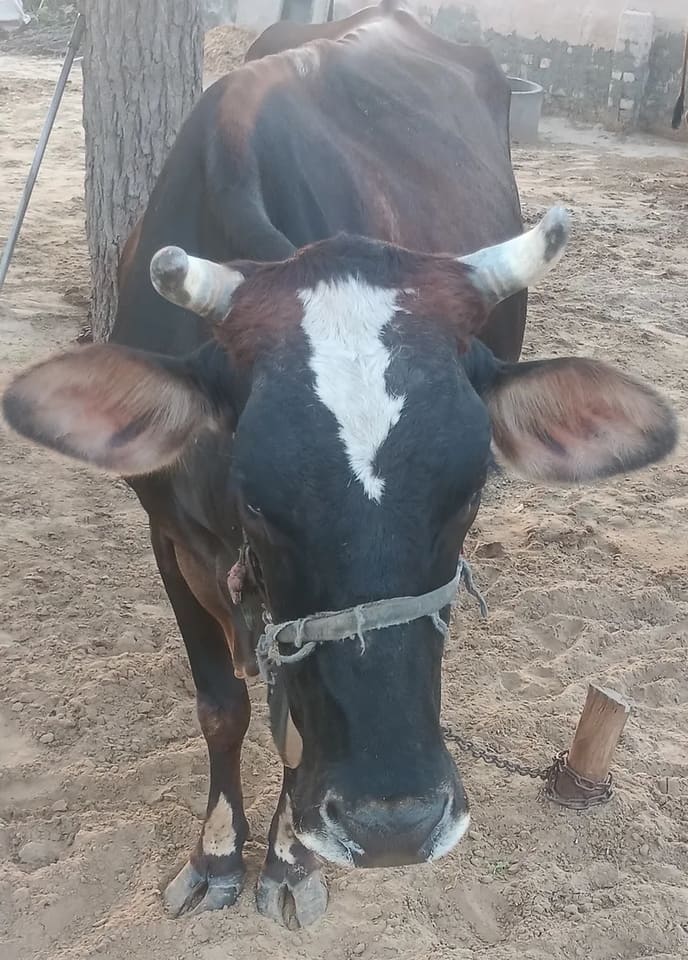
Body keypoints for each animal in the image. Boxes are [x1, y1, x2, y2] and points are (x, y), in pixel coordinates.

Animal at [2, 3, 677, 931]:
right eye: (255, 501)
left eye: (470, 491)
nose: (397, 824)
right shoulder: (167, 536)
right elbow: (222, 706)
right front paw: (217, 854)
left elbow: (293, 734)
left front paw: (288, 862)